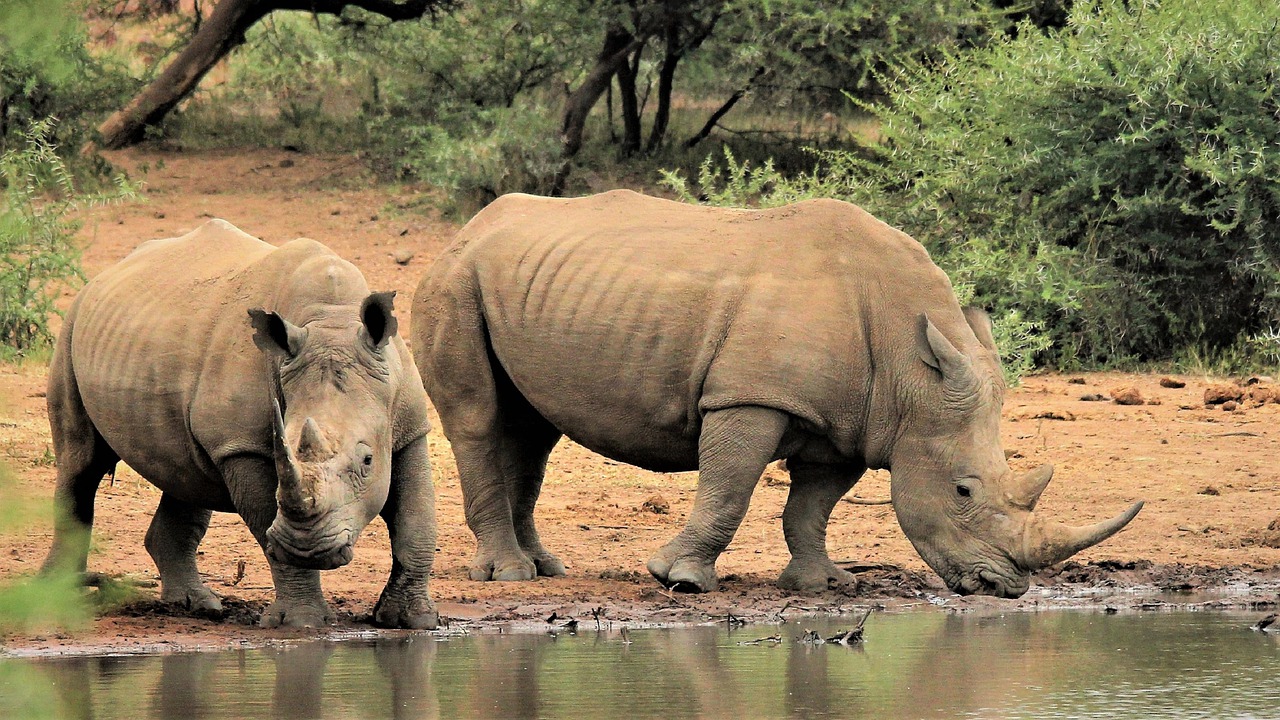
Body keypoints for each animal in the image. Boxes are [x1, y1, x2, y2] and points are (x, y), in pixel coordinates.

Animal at [40, 219, 437, 628]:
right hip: (71, 327)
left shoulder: (409, 427)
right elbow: (266, 527)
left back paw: (196, 605)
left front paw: (410, 620)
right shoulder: (243, 446)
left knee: (185, 477)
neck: (332, 321)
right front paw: (302, 623)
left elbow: (417, 520)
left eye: (367, 461)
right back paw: (59, 596)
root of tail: (104, 275)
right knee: (80, 464)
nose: (307, 550)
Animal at [412, 190, 1142, 597]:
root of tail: (467, 229)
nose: (1006, 589)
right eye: (963, 491)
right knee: (479, 419)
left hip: (522, 283)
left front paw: (824, 585)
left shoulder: (854, 420)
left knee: (533, 430)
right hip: (454, 280)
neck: (911, 370)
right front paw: (680, 580)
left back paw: (547, 569)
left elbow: (812, 506)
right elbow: (729, 489)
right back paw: (509, 577)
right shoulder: (751, 396)